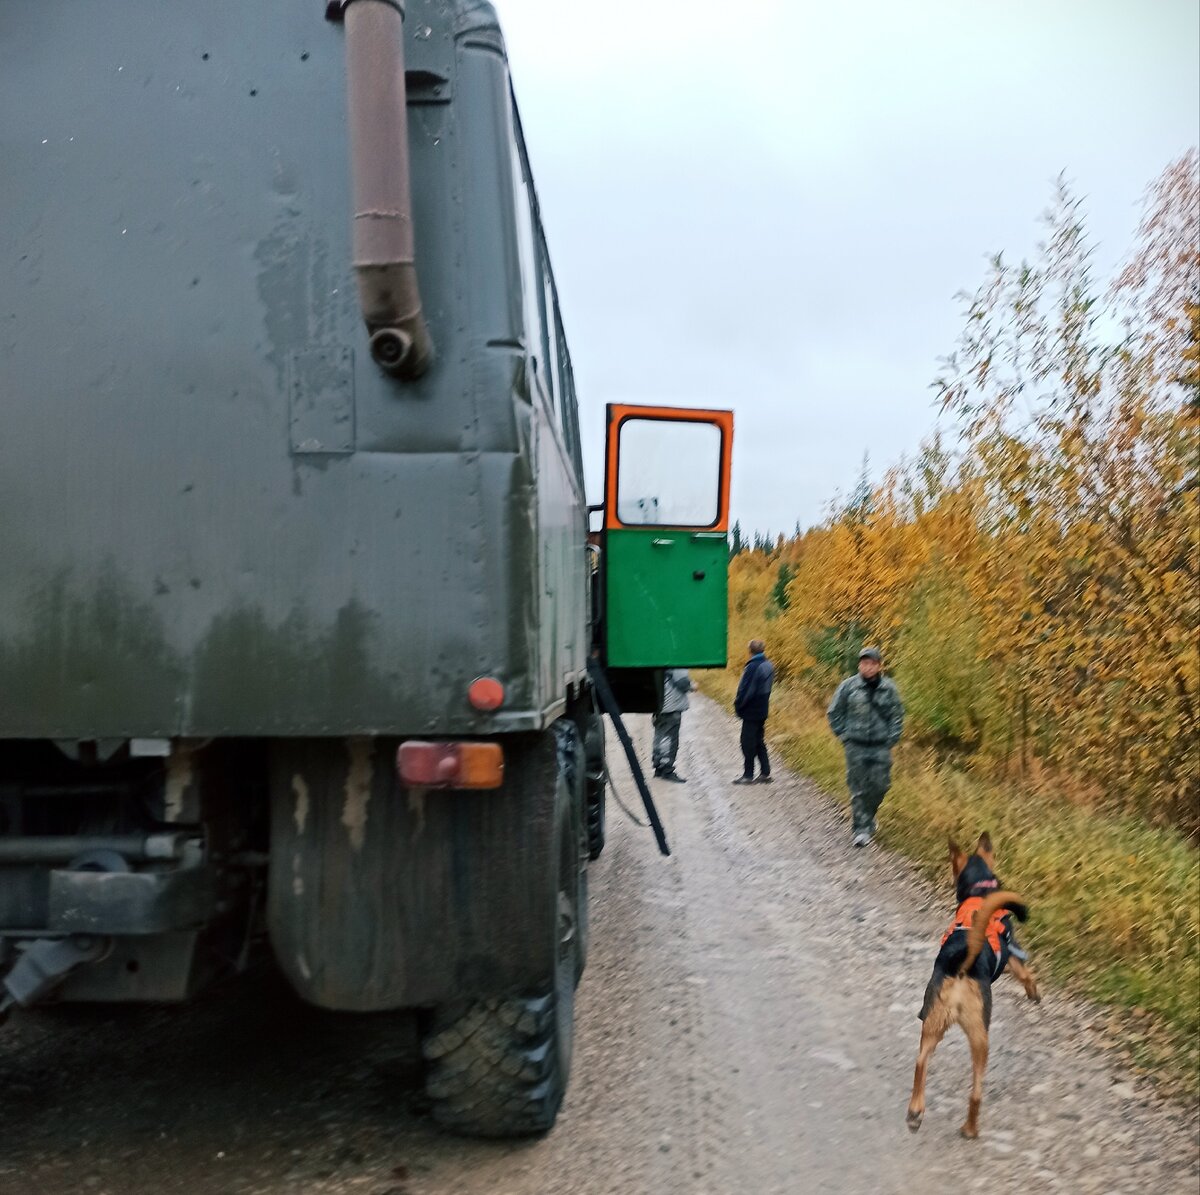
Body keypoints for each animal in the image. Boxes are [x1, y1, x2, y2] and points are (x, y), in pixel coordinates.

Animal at [902, 830, 1036, 1137]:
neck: (979, 892)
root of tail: (963, 963)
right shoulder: (1014, 954)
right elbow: (1026, 974)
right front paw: (1033, 993)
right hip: (980, 1035)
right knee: (976, 1092)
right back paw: (970, 1129)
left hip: (933, 1023)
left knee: (920, 1063)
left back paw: (915, 1112)